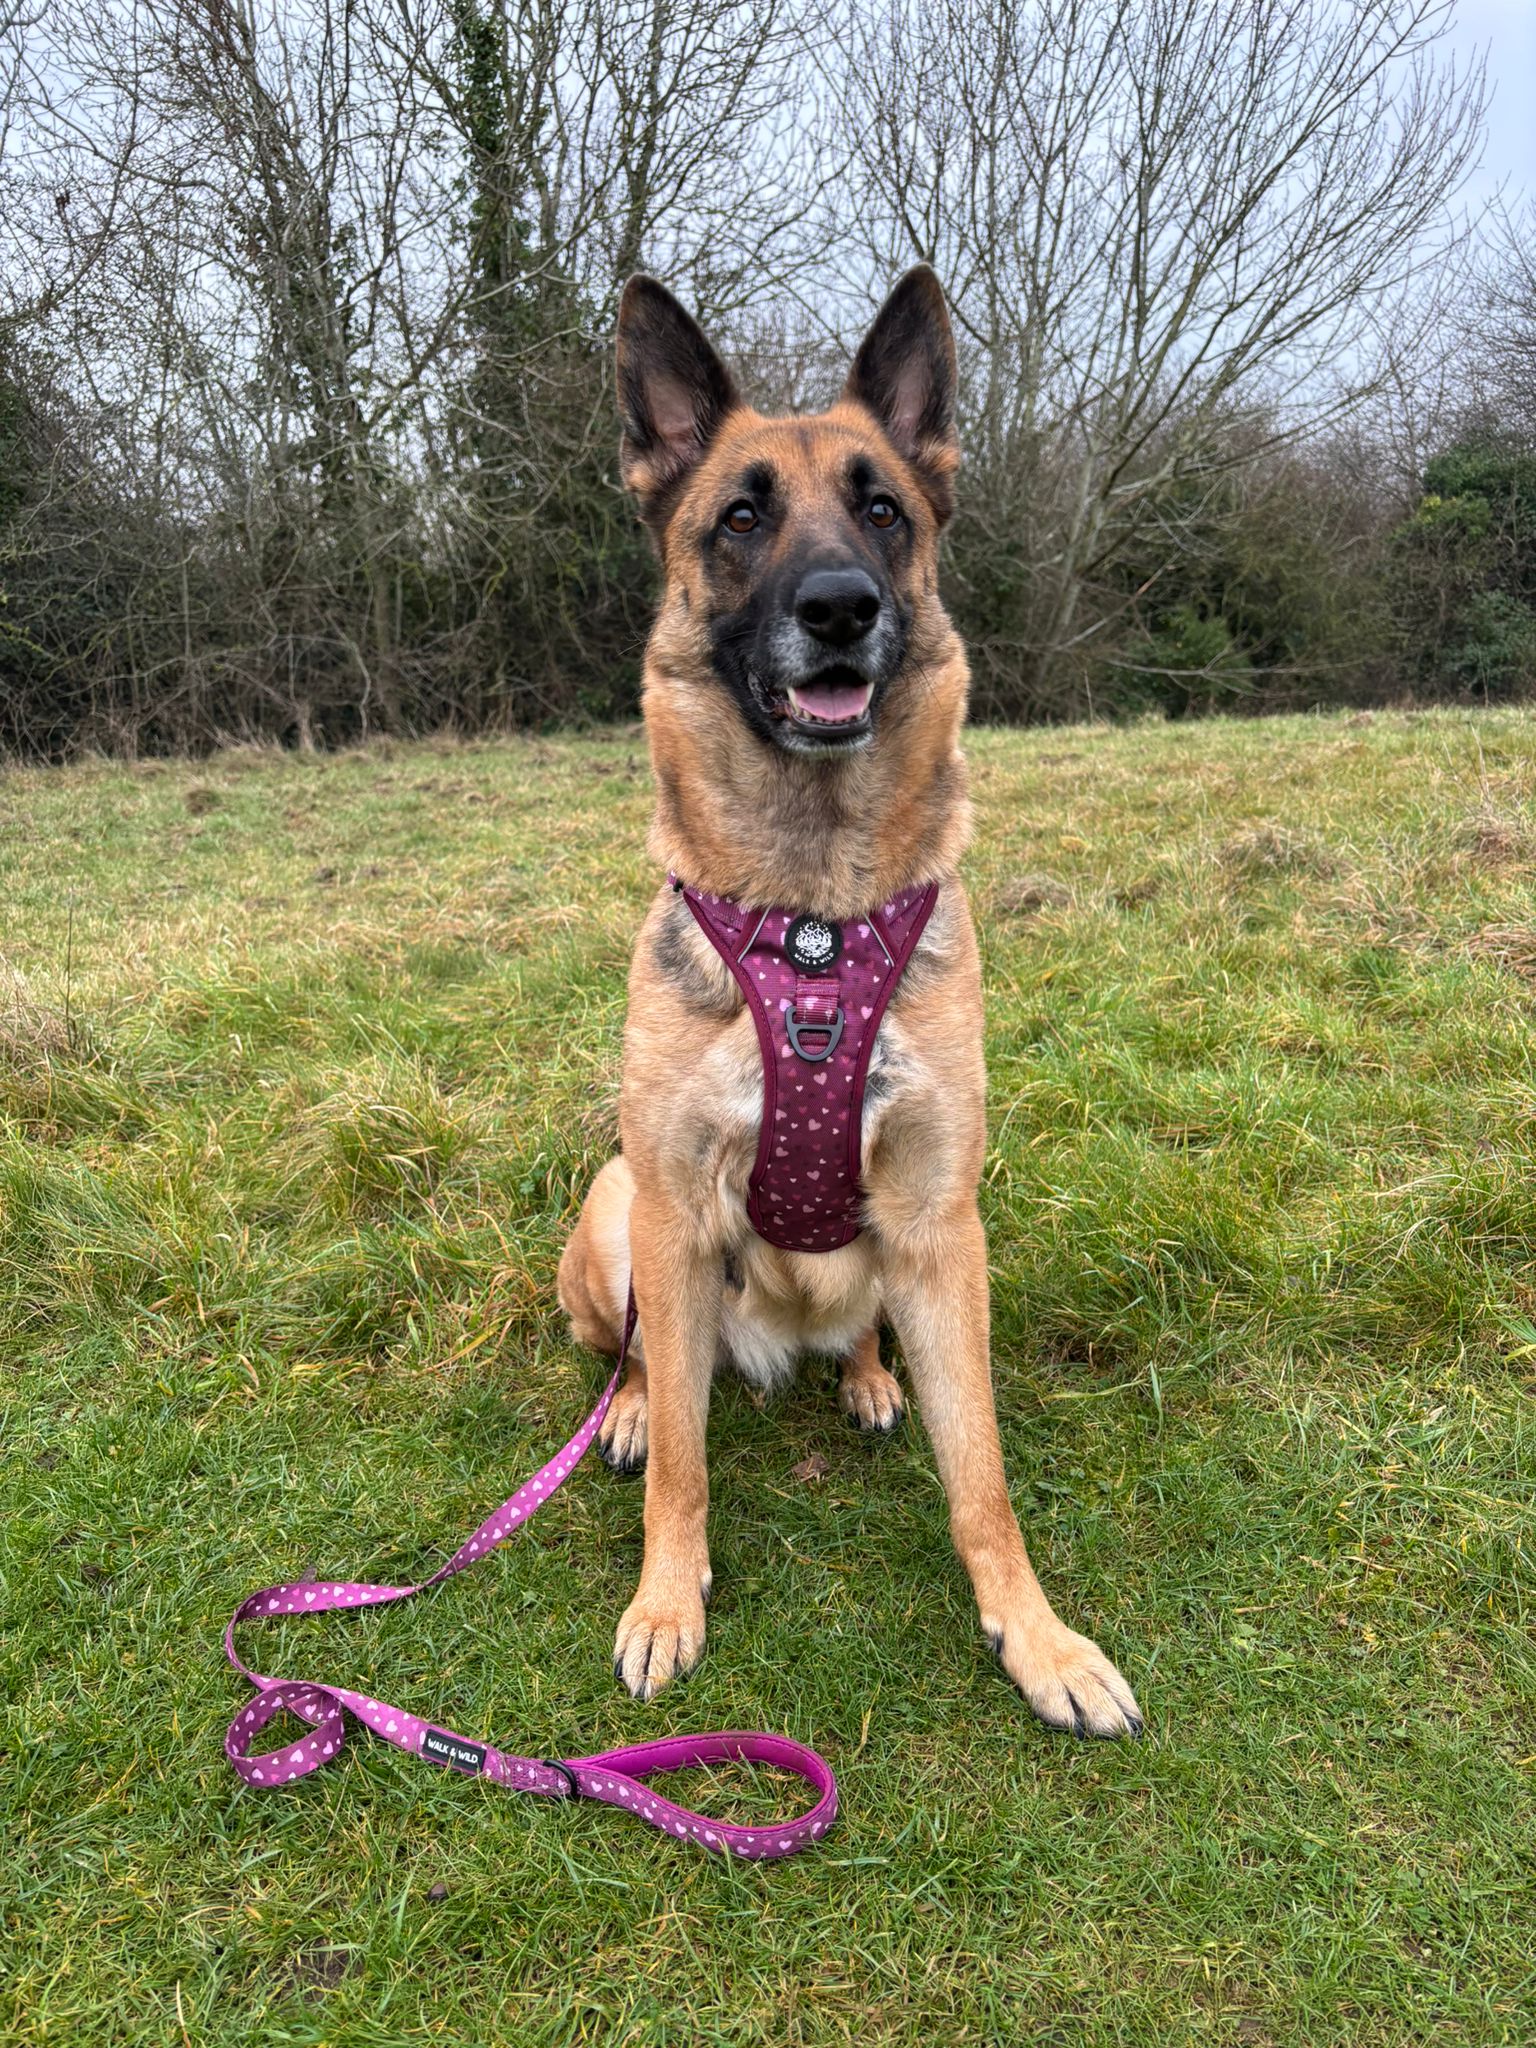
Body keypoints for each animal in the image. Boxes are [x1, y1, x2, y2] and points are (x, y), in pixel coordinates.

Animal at [557, 267, 1141, 1740]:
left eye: (885, 510)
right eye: (741, 515)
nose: (837, 607)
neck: (813, 912)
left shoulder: (940, 1219)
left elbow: (981, 1472)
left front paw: (1037, 1637)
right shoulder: (669, 1198)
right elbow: (686, 1467)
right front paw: (667, 1599)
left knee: (859, 1328)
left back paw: (871, 1373)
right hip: (615, 1211)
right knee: (646, 1362)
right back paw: (635, 1406)